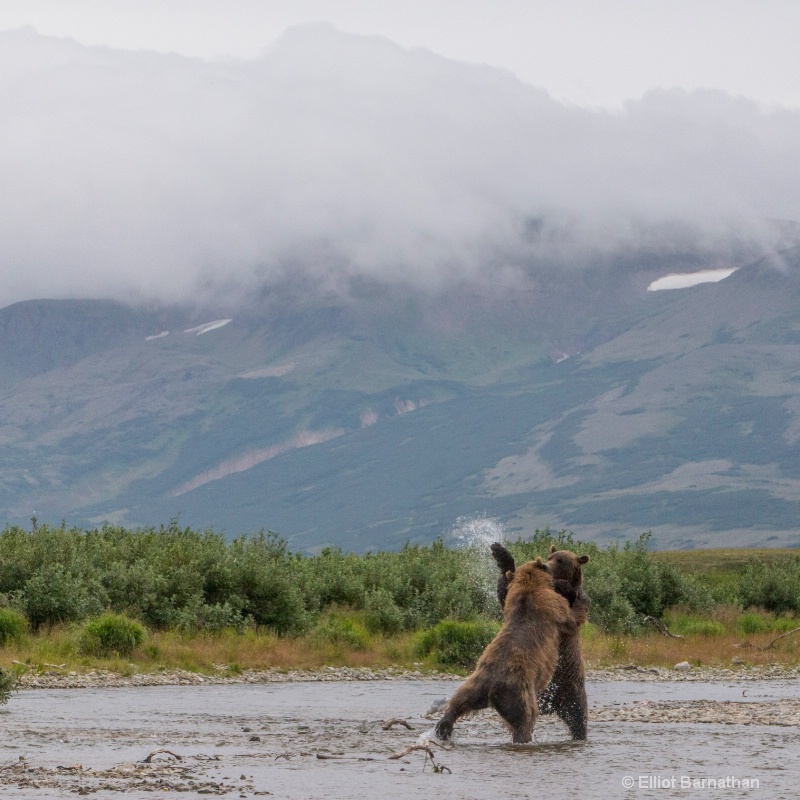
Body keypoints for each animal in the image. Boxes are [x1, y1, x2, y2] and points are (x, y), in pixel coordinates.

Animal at [434, 556, 580, 744]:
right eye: (548, 566)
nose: (550, 567)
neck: (531, 588)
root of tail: (491, 690)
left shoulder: (514, 599)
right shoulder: (553, 607)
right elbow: (569, 619)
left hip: (475, 685)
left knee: (459, 702)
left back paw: (443, 727)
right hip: (518, 694)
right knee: (524, 719)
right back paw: (524, 737)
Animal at [490, 540, 592, 740]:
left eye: (560, 560)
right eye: (549, 556)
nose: (546, 565)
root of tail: (551, 705)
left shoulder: (579, 607)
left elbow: (569, 614)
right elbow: (506, 593)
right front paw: (501, 553)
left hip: (570, 688)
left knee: (578, 718)